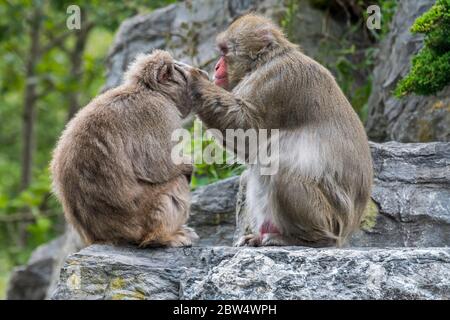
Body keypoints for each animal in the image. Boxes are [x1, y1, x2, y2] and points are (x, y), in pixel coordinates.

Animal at [49, 50, 204, 246]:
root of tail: (103, 237)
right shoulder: (159, 112)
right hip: (139, 217)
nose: (202, 73)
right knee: (177, 182)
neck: (149, 90)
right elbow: (160, 166)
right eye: (183, 73)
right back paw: (162, 237)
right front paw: (188, 167)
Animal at [188, 13, 374, 246]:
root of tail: (347, 230)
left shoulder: (276, 81)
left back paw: (311, 239)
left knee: (280, 170)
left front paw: (195, 82)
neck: (264, 61)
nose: (216, 67)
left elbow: (247, 129)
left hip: (330, 218)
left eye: (224, 52)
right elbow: (249, 147)